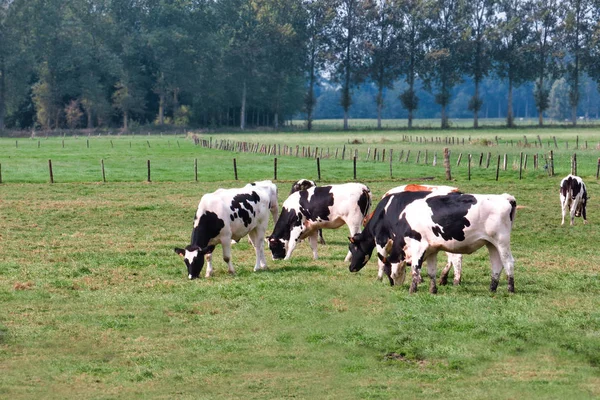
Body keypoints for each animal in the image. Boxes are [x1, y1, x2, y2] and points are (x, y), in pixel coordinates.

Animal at [350, 191, 516, 294]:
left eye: (389, 271)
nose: (395, 286)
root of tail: (505, 198)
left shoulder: (415, 246)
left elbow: (415, 268)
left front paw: (412, 289)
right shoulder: (432, 250)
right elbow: (431, 271)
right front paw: (432, 290)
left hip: (501, 242)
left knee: (508, 262)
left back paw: (510, 289)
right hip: (491, 244)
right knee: (496, 265)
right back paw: (492, 289)